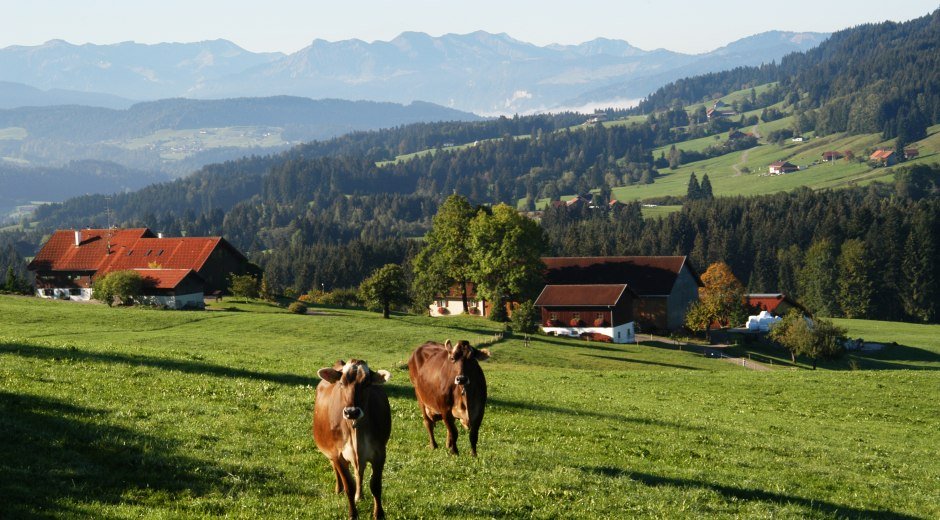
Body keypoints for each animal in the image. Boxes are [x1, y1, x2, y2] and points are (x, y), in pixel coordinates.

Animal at [314, 360, 392, 520]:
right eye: (342, 383)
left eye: (367, 383)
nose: (352, 412)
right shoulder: (337, 454)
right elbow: (349, 486)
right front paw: (352, 514)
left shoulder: (379, 453)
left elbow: (375, 485)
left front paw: (379, 513)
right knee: (336, 467)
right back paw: (339, 489)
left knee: (359, 472)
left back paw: (359, 496)